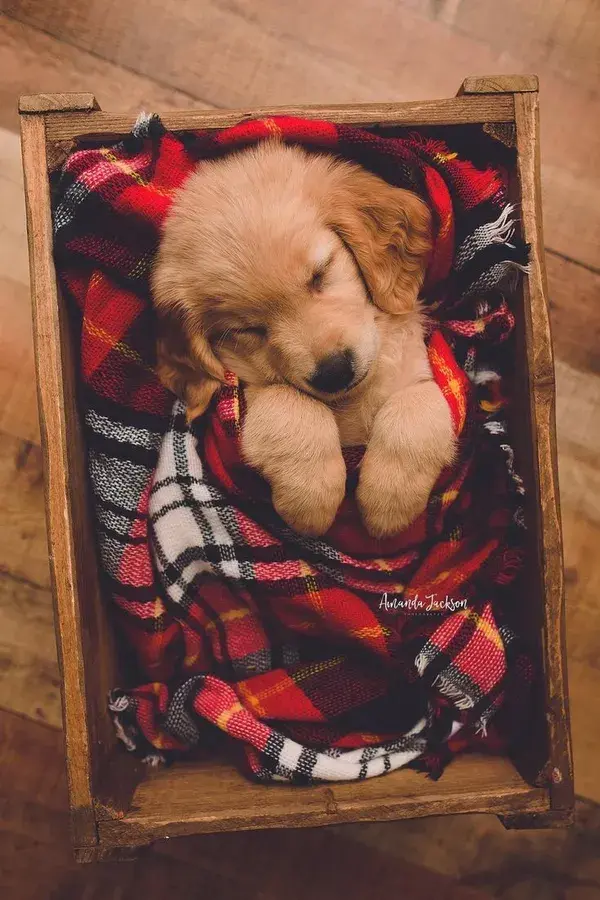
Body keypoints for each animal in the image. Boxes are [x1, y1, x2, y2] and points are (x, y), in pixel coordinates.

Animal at [151, 143, 454, 536]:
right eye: (247, 329)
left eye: (320, 274)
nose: (335, 372)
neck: (350, 399)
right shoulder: (249, 392)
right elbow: (289, 402)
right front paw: (312, 495)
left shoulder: (417, 367)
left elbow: (418, 404)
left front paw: (389, 502)